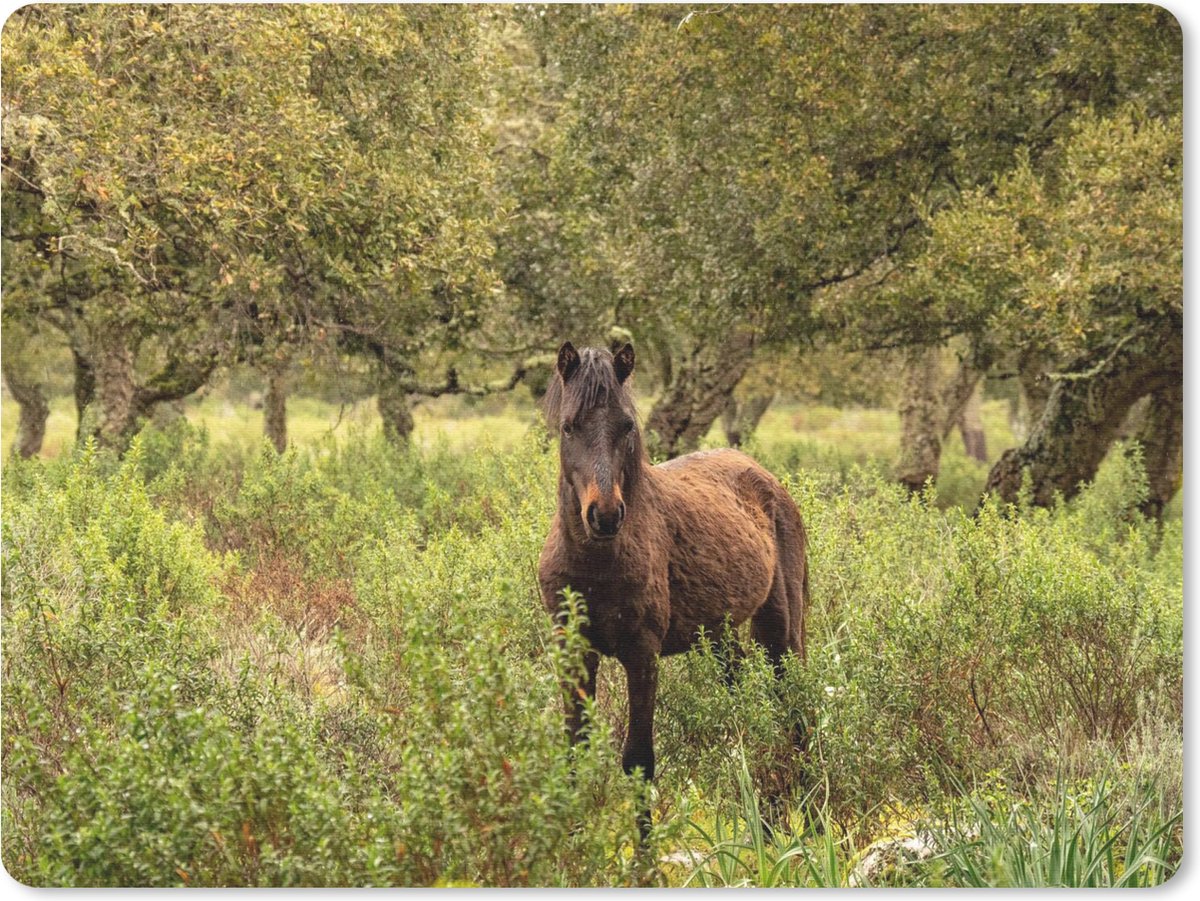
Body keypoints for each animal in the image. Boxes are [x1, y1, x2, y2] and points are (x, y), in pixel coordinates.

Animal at [537, 341, 809, 840]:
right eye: (568, 426)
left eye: (626, 425)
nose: (605, 516)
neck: (595, 563)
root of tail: (767, 479)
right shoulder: (574, 650)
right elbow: (573, 752)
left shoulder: (642, 654)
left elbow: (638, 761)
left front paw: (645, 855)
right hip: (722, 639)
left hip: (781, 631)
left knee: (796, 711)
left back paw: (810, 819)